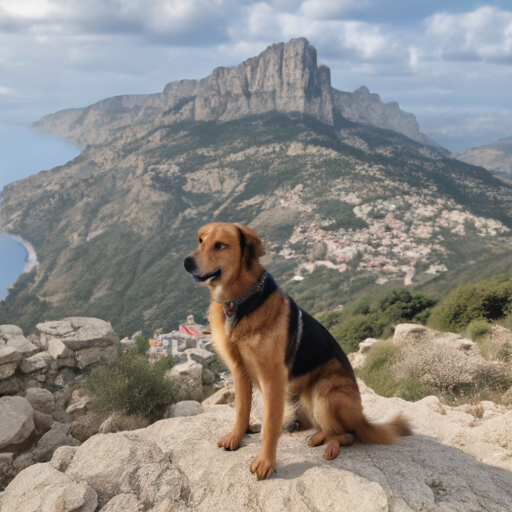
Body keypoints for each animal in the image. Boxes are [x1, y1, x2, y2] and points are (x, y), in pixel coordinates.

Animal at [185, 221, 412, 480]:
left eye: (220, 245)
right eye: (200, 240)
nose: (186, 262)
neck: (241, 302)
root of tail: (363, 418)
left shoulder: (273, 379)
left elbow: (271, 426)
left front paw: (265, 462)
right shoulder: (239, 372)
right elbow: (242, 410)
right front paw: (236, 436)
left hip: (324, 390)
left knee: (348, 434)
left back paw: (331, 445)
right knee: (327, 428)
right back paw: (316, 436)